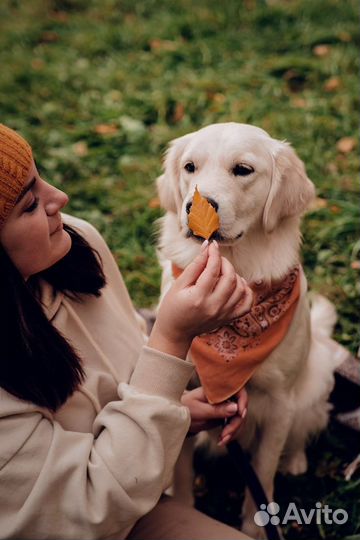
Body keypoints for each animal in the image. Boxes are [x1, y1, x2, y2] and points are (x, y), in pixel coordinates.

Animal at [155, 122, 346, 536]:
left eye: (243, 170)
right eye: (190, 167)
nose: (194, 207)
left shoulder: (278, 404)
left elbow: (263, 471)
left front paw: (254, 528)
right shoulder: (183, 395)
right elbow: (181, 469)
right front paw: (181, 503)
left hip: (318, 375)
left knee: (305, 425)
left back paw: (296, 460)